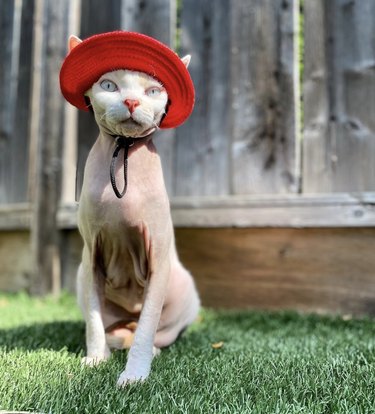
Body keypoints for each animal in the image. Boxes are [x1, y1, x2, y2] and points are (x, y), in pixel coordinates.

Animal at [68, 34, 201, 384]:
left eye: (153, 91)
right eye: (109, 85)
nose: (131, 102)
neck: (123, 149)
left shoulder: (158, 256)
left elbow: (147, 326)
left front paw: (135, 374)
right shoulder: (92, 256)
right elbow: (94, 321)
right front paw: (95, 358)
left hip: (184, 286)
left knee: (156, 331)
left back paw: (149, 348)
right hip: (80, 275)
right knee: (111, 326)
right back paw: (114, 341)